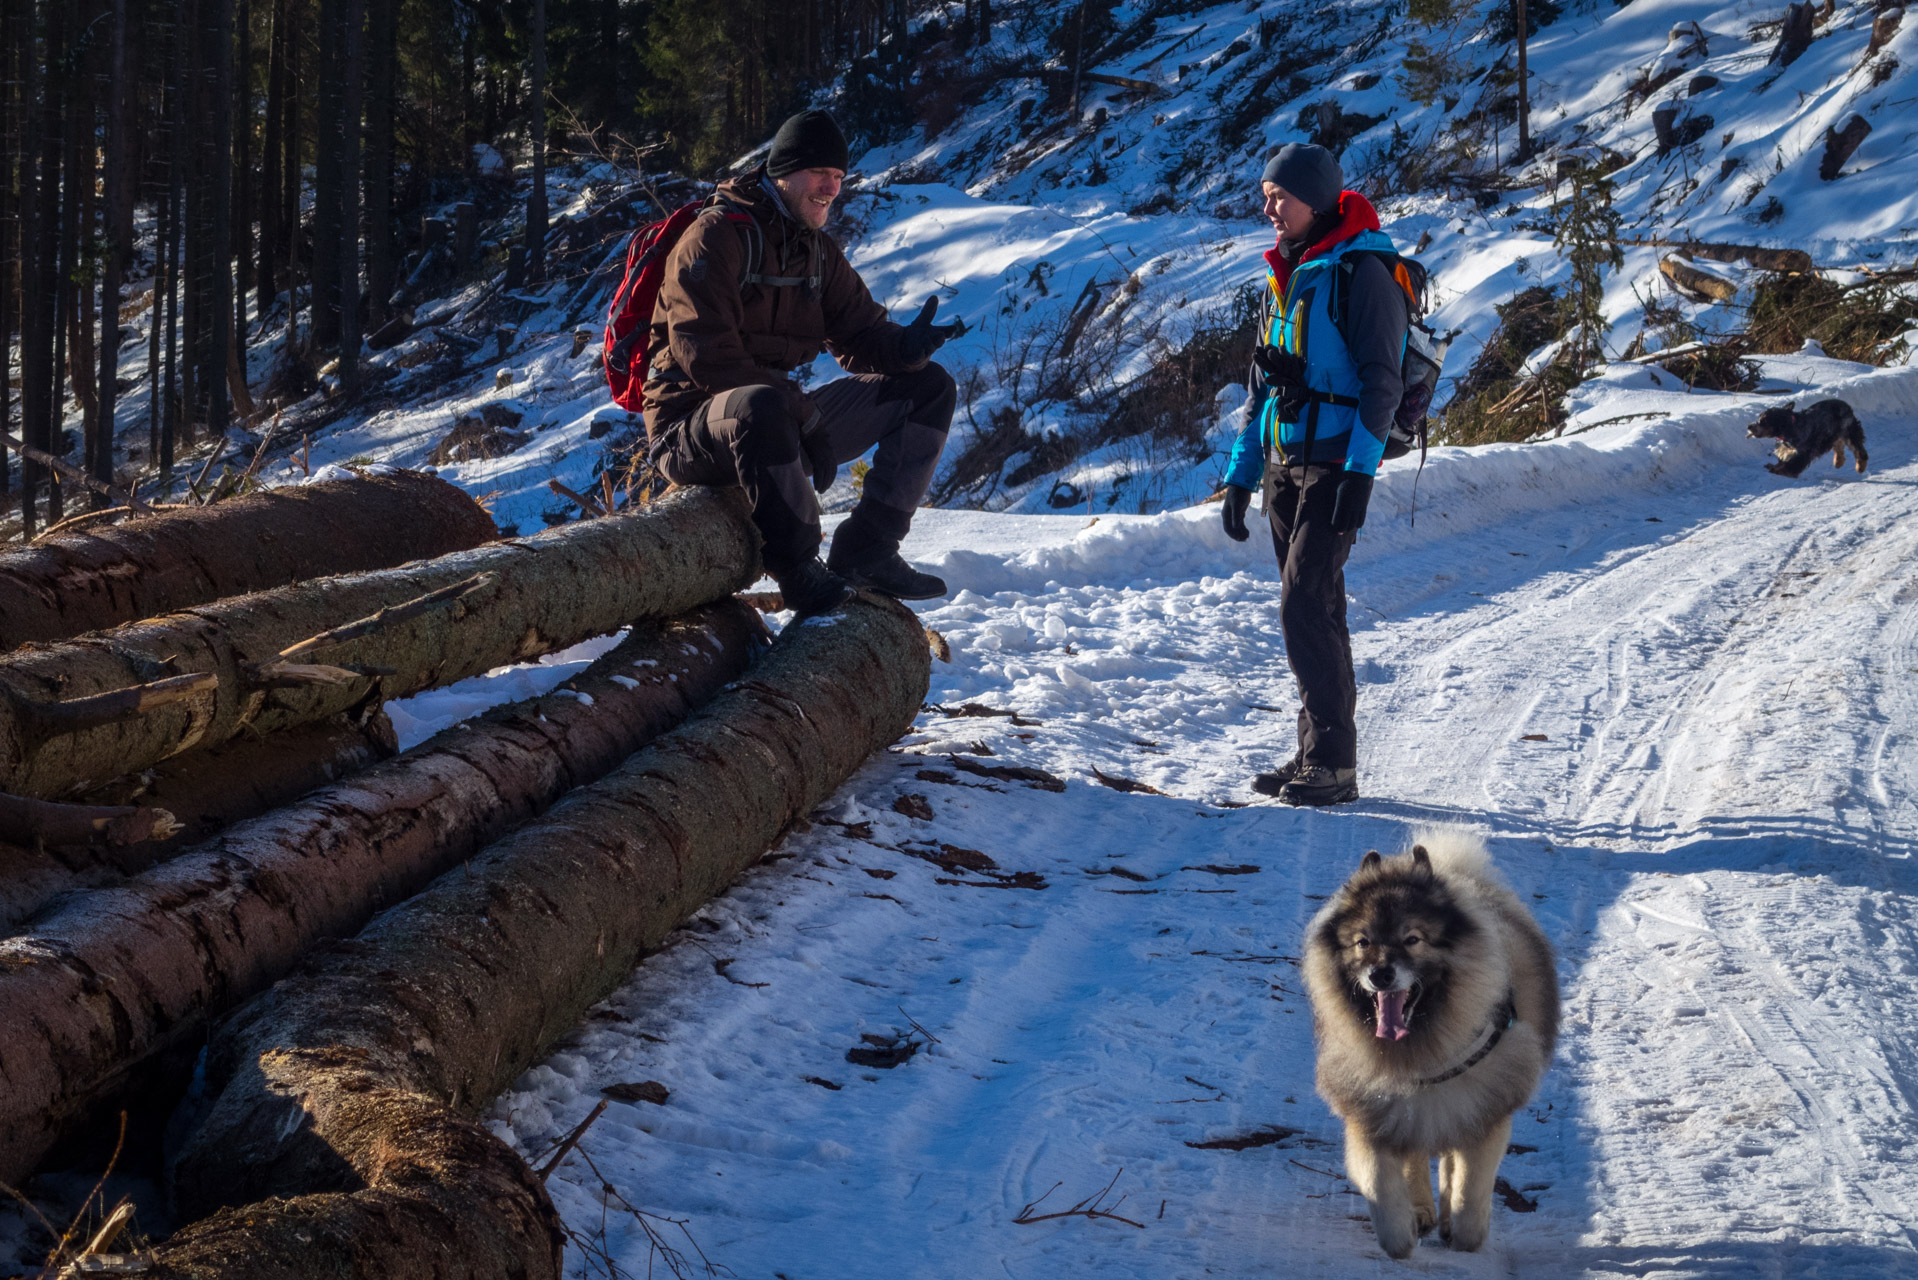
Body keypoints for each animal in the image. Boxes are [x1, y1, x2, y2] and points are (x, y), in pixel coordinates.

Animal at [1304, 832, 1557, 1258]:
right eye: (1362, 943)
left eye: (1412, 939)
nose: (1381, 974)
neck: (1421, 1051)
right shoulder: (1375, 1112)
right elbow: (1380, 1184)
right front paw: (1402, 1233)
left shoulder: (1482, 1112)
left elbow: (1469, 1192)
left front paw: (1461, 1229)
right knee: (1417, 1156)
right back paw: (1421, 1211)